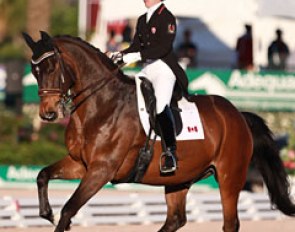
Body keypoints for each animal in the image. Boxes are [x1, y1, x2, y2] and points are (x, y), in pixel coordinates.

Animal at [22, 31, 295, 232]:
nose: (48, 114)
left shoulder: (102, 169)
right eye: (35, 71)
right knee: (176, 219)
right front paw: (46, 213)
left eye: (52, 67)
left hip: (230, 177)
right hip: (179, 178)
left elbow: (69, 208)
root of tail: (238, 115)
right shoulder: (80, 164)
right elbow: (42, 175)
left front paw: (57, 218)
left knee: (230, 224)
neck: (101, 104)